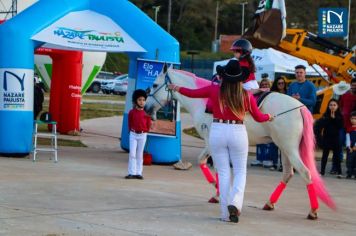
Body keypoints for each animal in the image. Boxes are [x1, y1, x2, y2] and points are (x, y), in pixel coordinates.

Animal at [143, 65, 336, 218]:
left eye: (154, 85)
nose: (146, 108)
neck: (204, 101)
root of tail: (299, 107)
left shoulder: (211, 143)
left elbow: (210, 164)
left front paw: (218, 191)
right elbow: (209, 164)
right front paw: (218, 191)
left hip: (289, 149)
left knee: (306, 174)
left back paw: (313, 211)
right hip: (285, 149)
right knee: (288, 174)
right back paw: (269, 203)